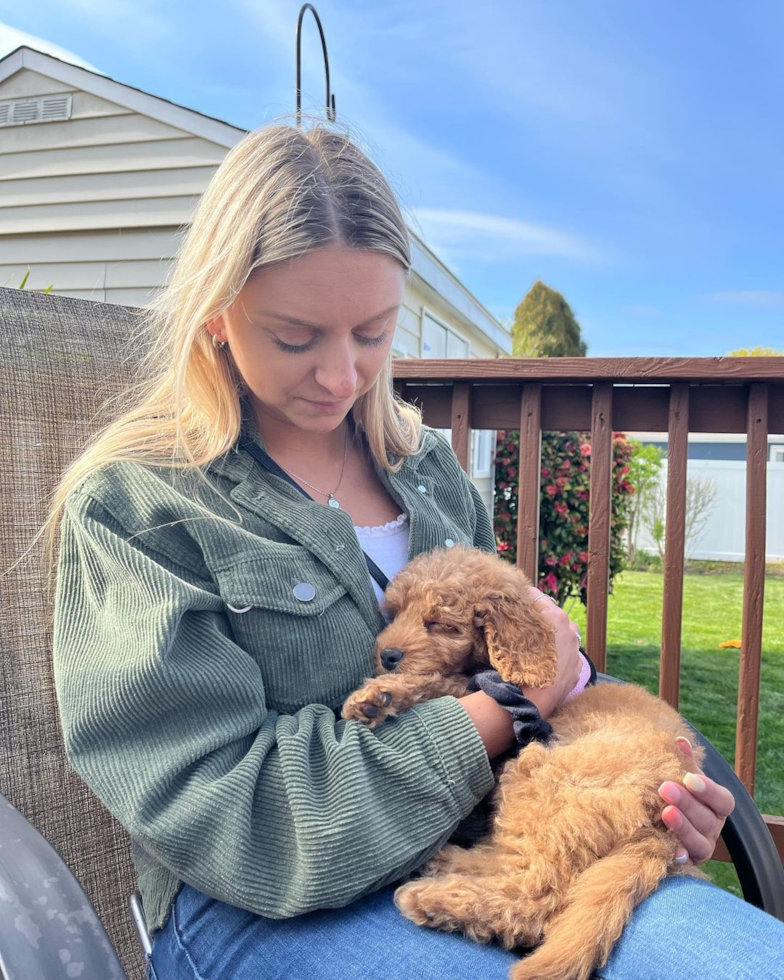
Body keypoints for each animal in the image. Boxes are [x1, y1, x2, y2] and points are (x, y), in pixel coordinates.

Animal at [340, 544, 708, 980]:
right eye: (394, 613)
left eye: (439, 623)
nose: (388, 656)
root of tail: (663, 816)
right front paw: (379, 696)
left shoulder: (485, 684)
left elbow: (443, 682)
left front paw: (380, 695)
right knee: (512, 862)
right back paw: (447, 862)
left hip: (545, 781)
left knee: (534, 897)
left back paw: (437, 902)